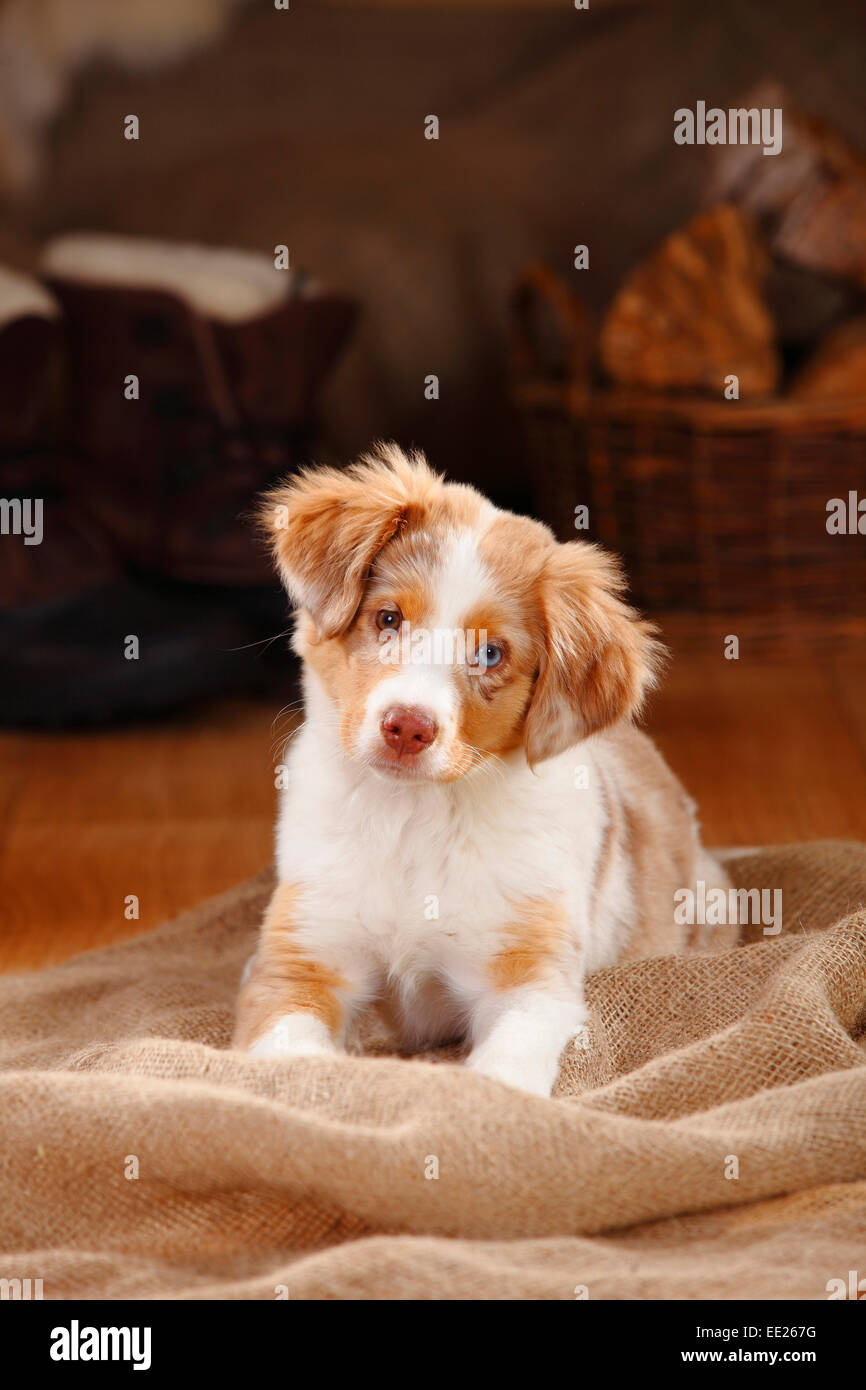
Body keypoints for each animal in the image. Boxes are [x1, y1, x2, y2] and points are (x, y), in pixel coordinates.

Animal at [233, 444, 733, 1095]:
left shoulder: (529, 981)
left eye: (490, 654)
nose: (407, 727)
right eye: (388, 619)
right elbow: (297, 1062)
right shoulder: (298, 962)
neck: (412, 818)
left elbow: (502, 1073)